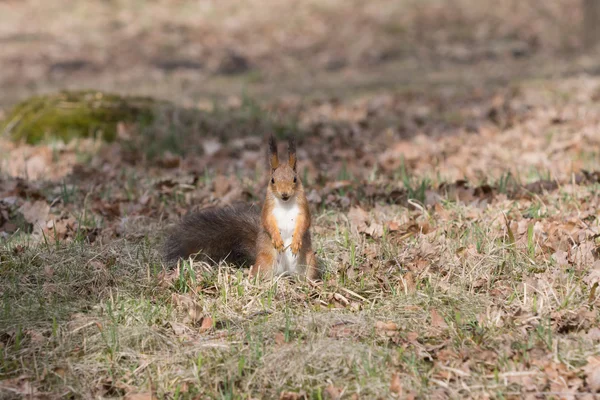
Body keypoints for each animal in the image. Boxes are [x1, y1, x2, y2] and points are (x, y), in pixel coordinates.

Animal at [159, 136, 318, 280]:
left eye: (295, 179)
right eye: (272, 180)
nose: (284, 194)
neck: (285, 204)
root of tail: (285, 272)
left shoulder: (303, 208)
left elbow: (304, 223)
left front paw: (296, 242)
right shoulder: (267, 209)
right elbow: (267, 223)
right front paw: (277, 240)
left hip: (309, 262)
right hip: (266, 263)